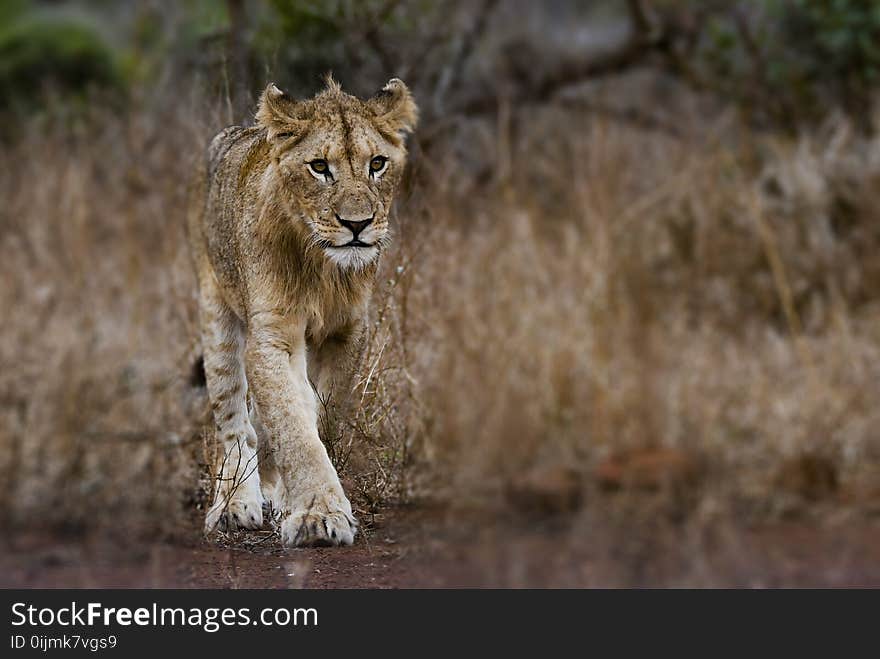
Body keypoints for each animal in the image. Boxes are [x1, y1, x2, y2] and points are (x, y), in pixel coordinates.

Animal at [189, 77, 416, 548]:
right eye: (319, 167)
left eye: (378, 163)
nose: (357, 225)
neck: (323, 268)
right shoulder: (272, 334)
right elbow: (292, 424)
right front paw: (317, 514)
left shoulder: (349, 331)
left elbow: (319, 415)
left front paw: (299, 502)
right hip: (217, 315)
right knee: (233, 422)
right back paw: (234, 504)